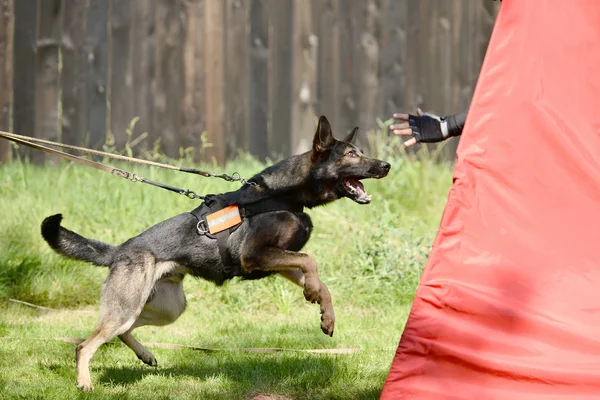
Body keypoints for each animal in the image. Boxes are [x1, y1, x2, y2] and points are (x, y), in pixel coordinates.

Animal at [39, 115, 392, 390]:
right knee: (85, 345)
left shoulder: (277, 260)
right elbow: (311, 261)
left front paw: (324, 310)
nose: (386, 165)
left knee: (123, 332)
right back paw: (85, 382)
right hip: (129, 307)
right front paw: (312, 291)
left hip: (168, 308)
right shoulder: (256, 255)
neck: (284, 195)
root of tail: (119, 251)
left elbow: (318, 277)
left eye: (360, 152)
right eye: (351, 154)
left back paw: (146, 355)